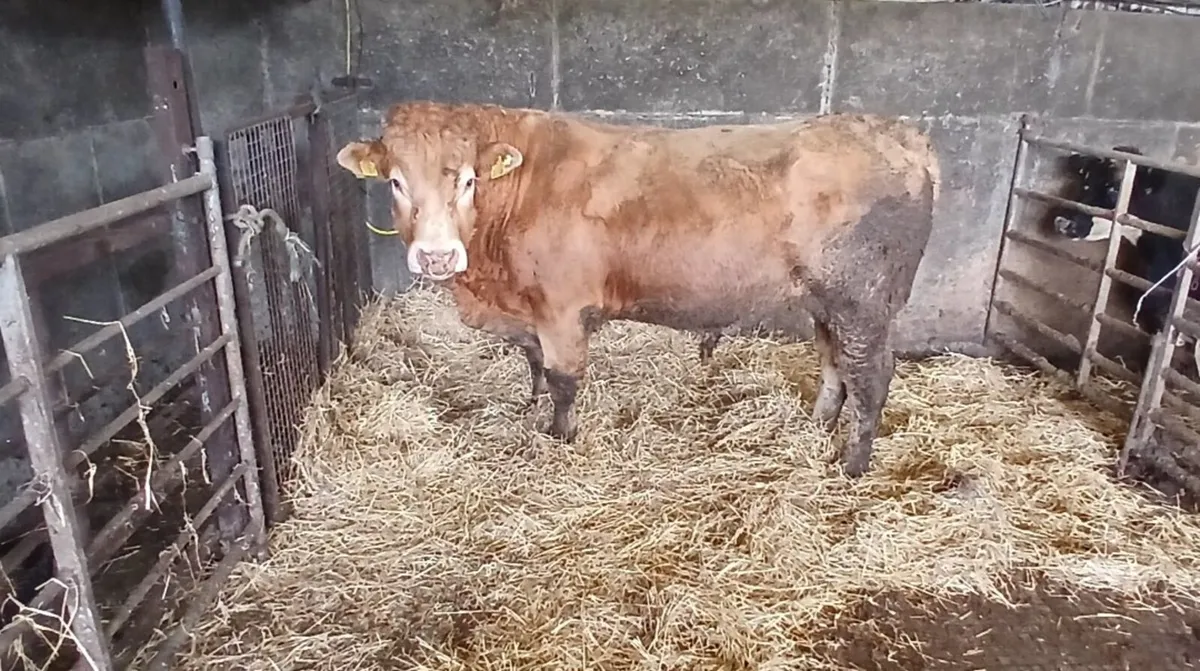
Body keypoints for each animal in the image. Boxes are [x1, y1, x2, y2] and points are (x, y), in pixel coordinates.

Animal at [338, 102, 940, 477]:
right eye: (396, 181)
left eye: (468, 180)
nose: (437, 255)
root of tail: (901, 135)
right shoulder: (529, 312)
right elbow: (534, 367)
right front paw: (529, 410)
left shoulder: (562, 308)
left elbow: (563, 380)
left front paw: (560, 437)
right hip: (827, 303)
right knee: (835, 365)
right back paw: (814, 428)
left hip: (863, 302)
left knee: (872, 376)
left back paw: (852, 464)